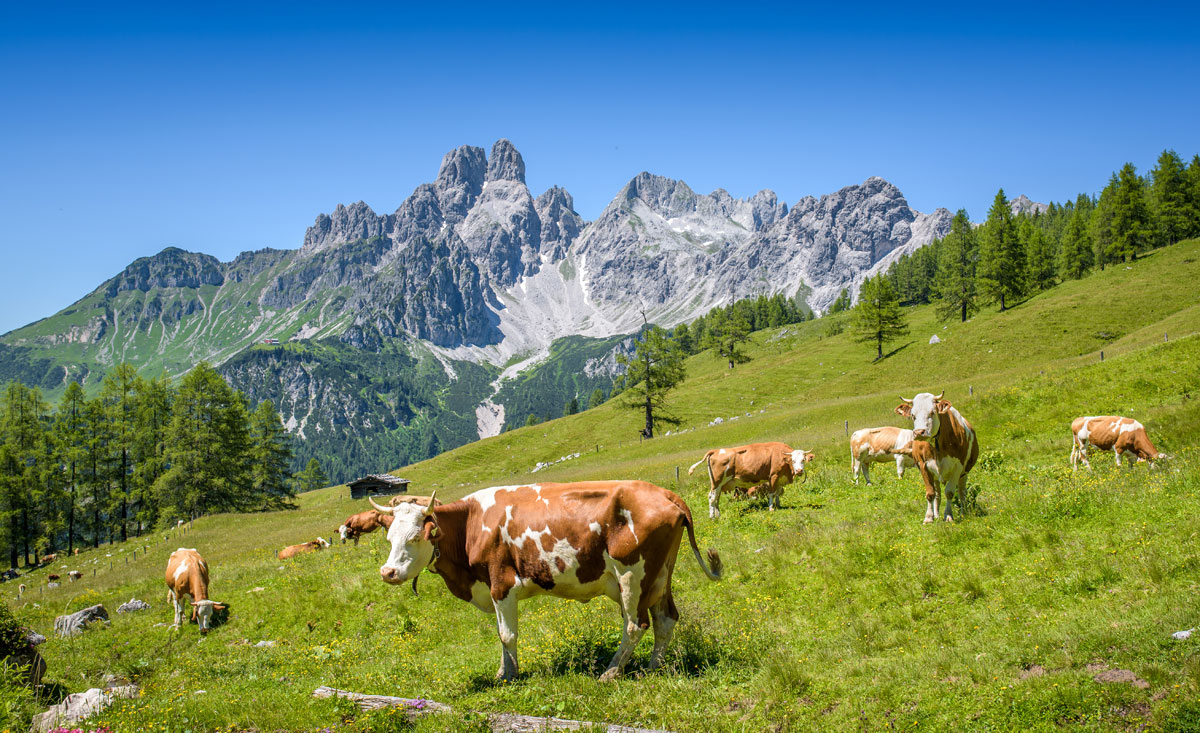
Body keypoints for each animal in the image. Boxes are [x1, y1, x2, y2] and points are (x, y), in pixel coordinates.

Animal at [364, 482, 720, 681]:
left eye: (415, 537)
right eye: (390, 537)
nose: (388, 572)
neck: (470, 525)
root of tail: (664, 493)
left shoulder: (502, 583)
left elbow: (507, 635)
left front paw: (510, 675)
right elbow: (501, 635)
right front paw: (502, 671)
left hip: (633, 576)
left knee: (636, 625)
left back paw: (611, 672)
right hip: (659, 577)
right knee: (665, 619)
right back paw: (652, 667)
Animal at [686, 439, 816, 518]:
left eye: (803, 460)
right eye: (793, 461)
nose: (799, 471)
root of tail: (716, 450)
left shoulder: (780, 478)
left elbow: (778, 493)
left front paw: (778, 505)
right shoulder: (773, 476)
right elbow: (772, 493)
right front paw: (771, 508)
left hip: (719, 485)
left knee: (716, 498)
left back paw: (718, 515)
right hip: (717, 482)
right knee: (711, 498)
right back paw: (713, 517)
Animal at [897, 393, 979, 525]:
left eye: (932, 412)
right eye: (913, 415)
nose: (919, 432)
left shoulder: (957, 467)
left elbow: (949, 493)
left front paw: (948, 515)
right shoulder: (923, 466)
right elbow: (931, 493)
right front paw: (929, 517)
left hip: (964, 474)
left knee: (962, 492)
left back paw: (963, 512)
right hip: (935, 476)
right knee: (937, 494)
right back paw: (936, 514)